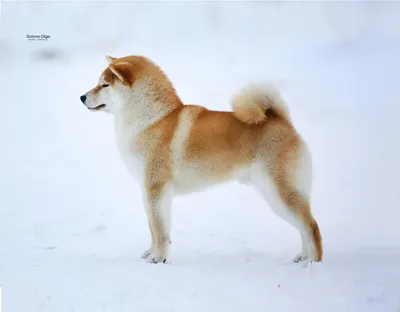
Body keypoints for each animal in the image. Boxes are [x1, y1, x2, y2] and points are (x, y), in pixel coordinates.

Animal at [80, 55, 322, 264]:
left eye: (104, 85)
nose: (82, 97)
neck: (152, 119)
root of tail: (282, 120)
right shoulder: (147, 190)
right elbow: (152, 228)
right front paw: (151, 252)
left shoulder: (156, 189)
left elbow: (160, 230)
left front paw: (158, 258)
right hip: (277, 193)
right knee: (303, 226)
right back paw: (302, 258)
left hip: (279, 191)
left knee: (311, 226)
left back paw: (314, 262)